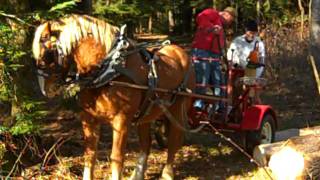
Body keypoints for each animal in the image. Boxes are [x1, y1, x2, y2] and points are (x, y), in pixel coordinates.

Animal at [33, 14, 196, 179]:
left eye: (47, 54)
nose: (46, 89)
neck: (108, 70)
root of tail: (182, 53)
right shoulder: (88, 118)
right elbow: (90, 154)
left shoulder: (121, 120)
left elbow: (116, 158)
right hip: (147, 112)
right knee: (146, 143)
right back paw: (137, 174)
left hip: (177, 108)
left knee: (174, 140)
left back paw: (167, 173)